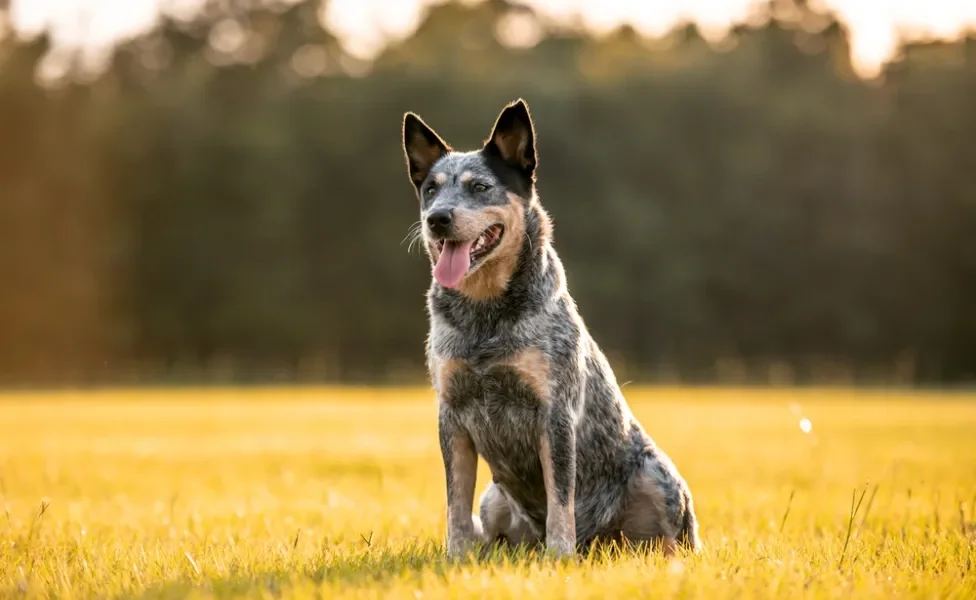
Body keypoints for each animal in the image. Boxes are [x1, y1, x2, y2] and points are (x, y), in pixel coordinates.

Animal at [400, 97, 696, 556]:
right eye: (431, 188)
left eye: (480, 187)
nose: (437, 218)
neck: (485, 317)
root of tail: (598, 542)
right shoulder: (451, 415)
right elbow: (455, 500)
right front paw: (456, 556)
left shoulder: (554, 411)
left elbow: (560, 496)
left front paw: (560, 555)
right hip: (494, 498)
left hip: (657, 476)